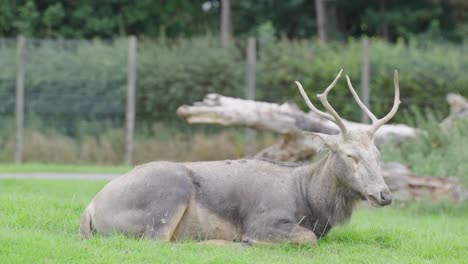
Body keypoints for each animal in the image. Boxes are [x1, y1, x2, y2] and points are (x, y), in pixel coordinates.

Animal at [79, 69, 398, 245]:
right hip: (167, 196)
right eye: (350, 155)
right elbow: (307, 239)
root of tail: (91, 208)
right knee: (159, 241)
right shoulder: (263, 219)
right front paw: (250, 242)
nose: (385, 194)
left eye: (377, 154)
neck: (309, 202)